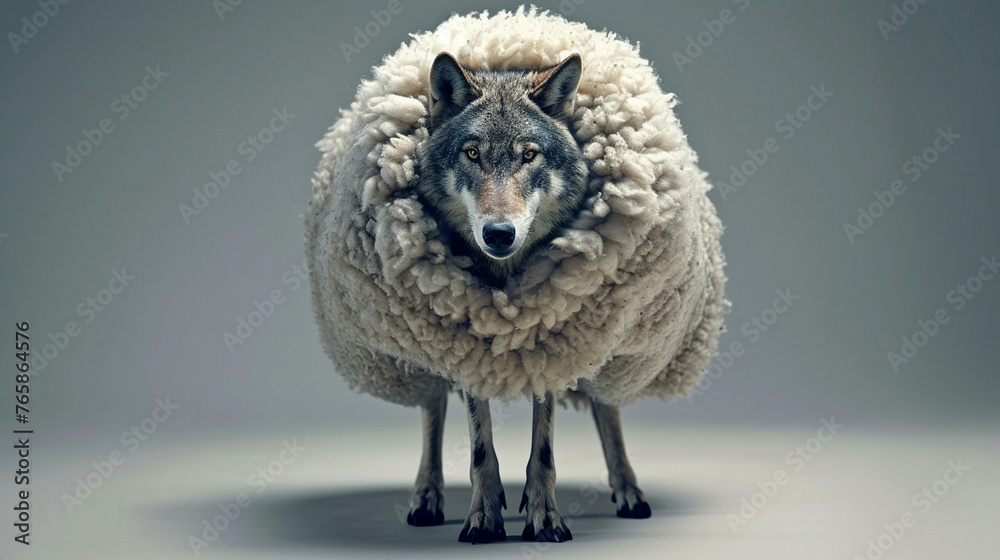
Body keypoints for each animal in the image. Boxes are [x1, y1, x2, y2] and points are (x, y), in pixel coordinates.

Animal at [405, 52, 652, 544]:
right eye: (473, 153)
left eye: (529, 155)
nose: (499, 234)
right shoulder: (466, 341)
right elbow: (480, 448)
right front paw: (484, 517)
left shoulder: (553, 335)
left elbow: (545, 450)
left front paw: (545, 518)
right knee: (432, 410)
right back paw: (427, 497)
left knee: (608, 412)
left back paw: (628, 492)